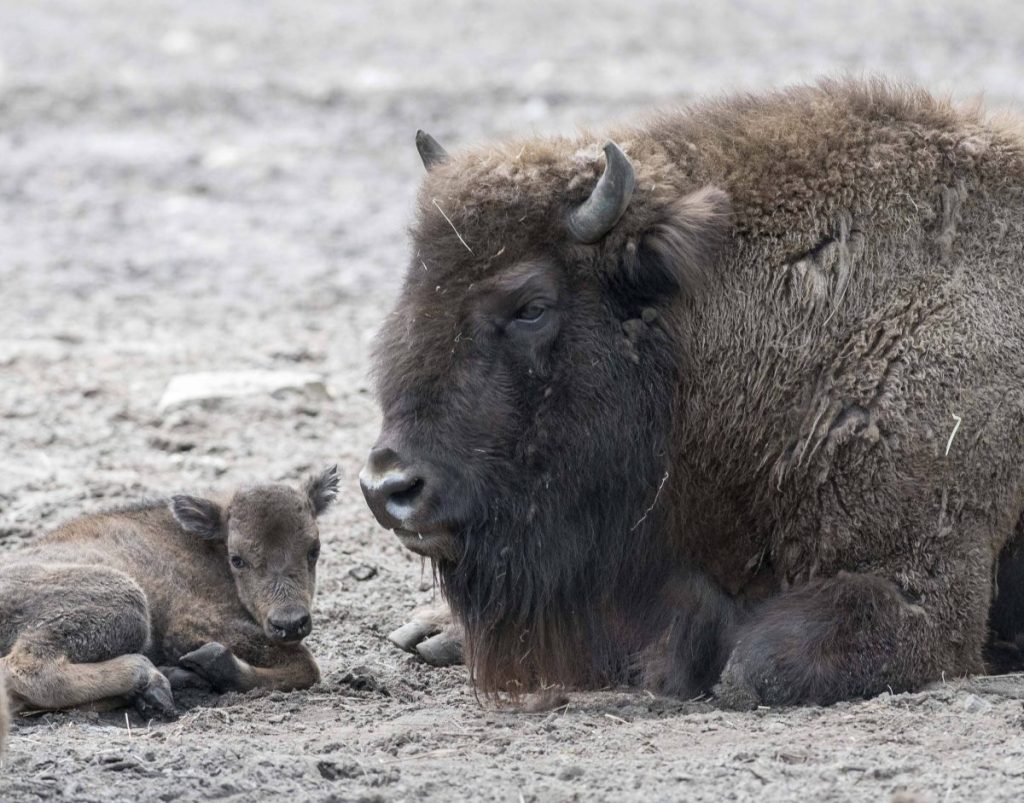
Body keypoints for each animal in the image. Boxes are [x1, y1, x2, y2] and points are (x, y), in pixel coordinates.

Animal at [0, 467, 337, 716]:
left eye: (314, 549)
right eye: (237, 558)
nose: (290, 623)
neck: (207, 545)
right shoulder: (192, 625)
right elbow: (306, 665)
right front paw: (212, 663)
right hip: (127, 602)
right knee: (24, 668)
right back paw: (152, 682)